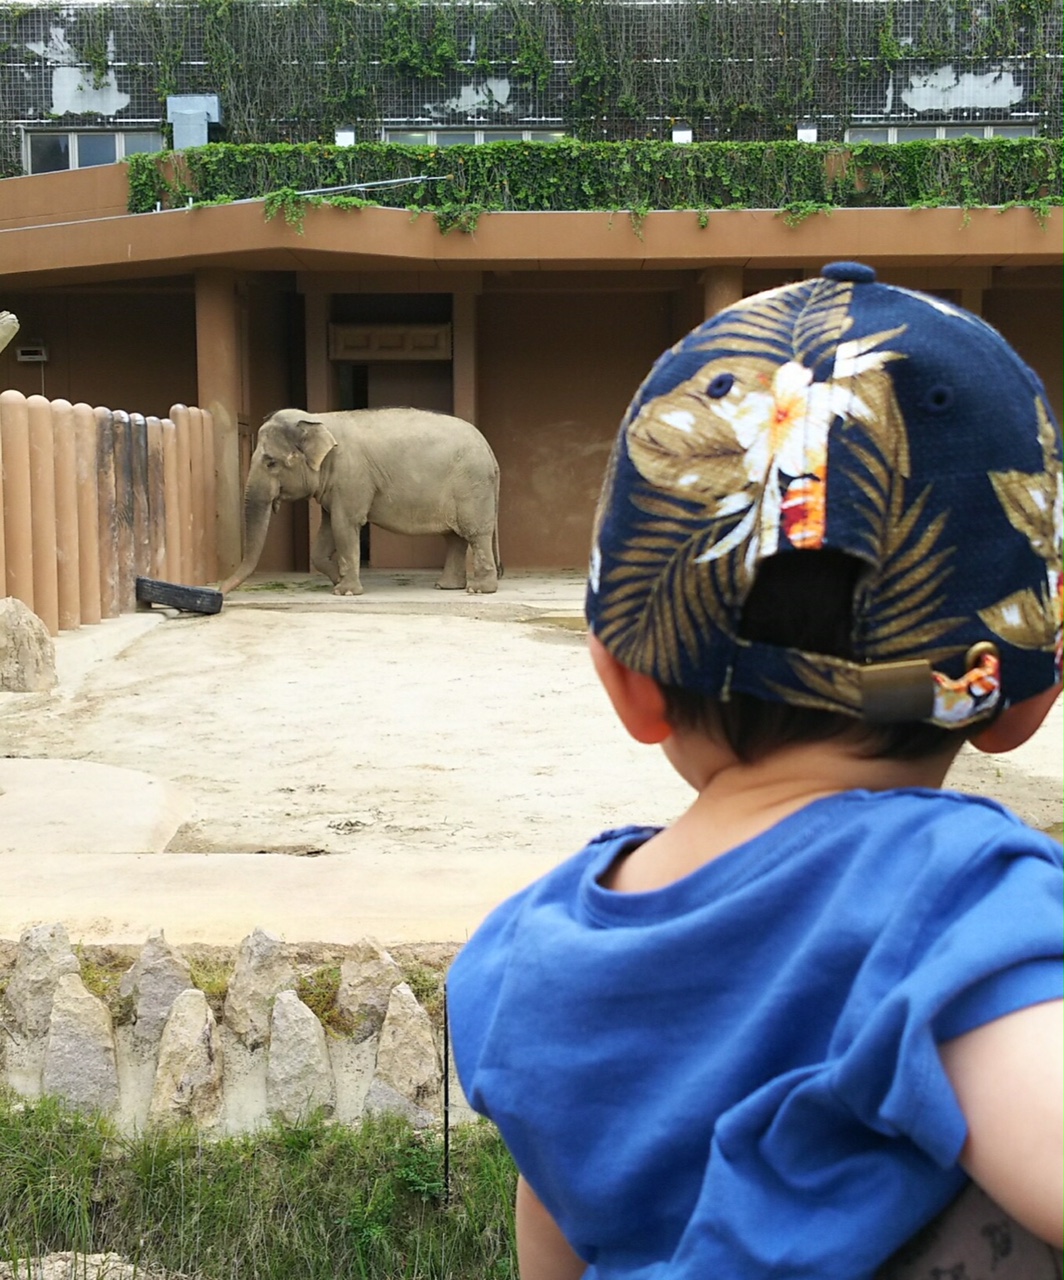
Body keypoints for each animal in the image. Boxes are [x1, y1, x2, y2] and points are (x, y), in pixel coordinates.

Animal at [218, 404, 504, 593]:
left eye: (271, 463)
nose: (220, 590)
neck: (318, 421)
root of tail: (489, 448)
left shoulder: (350, 475)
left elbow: (345, 525)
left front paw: (344, 591)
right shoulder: (336, 486)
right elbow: (327, 530)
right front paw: (337, 580)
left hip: (472, 485)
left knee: (475, 533)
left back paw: (478, 590)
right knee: (454, 537)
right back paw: (446, 587)